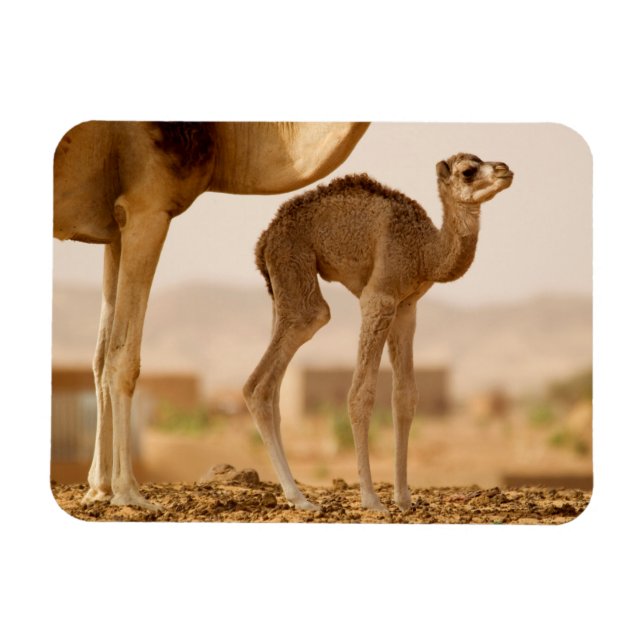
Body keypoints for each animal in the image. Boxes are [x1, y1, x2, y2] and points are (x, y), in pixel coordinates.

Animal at [54, 121, 369, 510]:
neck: (219, 134)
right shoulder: (148, 206)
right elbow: (124, 358)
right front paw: (129, 493)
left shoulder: (114, 228)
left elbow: (100, 358)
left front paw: (98, 489)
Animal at [244, 153, 513, 513]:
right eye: (468, 171)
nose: (505, 170)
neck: (424, 251)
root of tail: (264, 240)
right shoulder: (379, 297)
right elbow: (361, 394)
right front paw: (372, 499)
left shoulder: (407, 306)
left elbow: (405, 396)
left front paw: (404, 497)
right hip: (294, 268)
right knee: (266, 376)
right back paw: (300, 499)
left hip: (280, 289)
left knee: (272, 386)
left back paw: (296, 494)